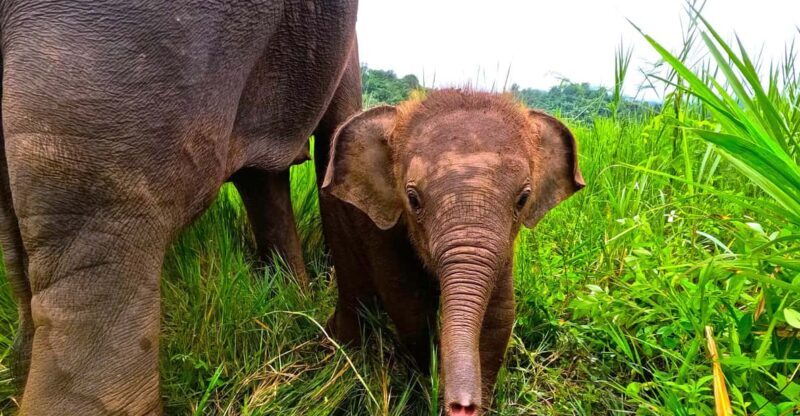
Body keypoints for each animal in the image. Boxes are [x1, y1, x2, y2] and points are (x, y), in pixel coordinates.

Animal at [321, 89, 585, 415]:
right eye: (413, 199)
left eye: (523, 199)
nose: (462, 406)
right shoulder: (380, 229)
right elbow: (410, 306)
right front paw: (428, 383)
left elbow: (499, 315)